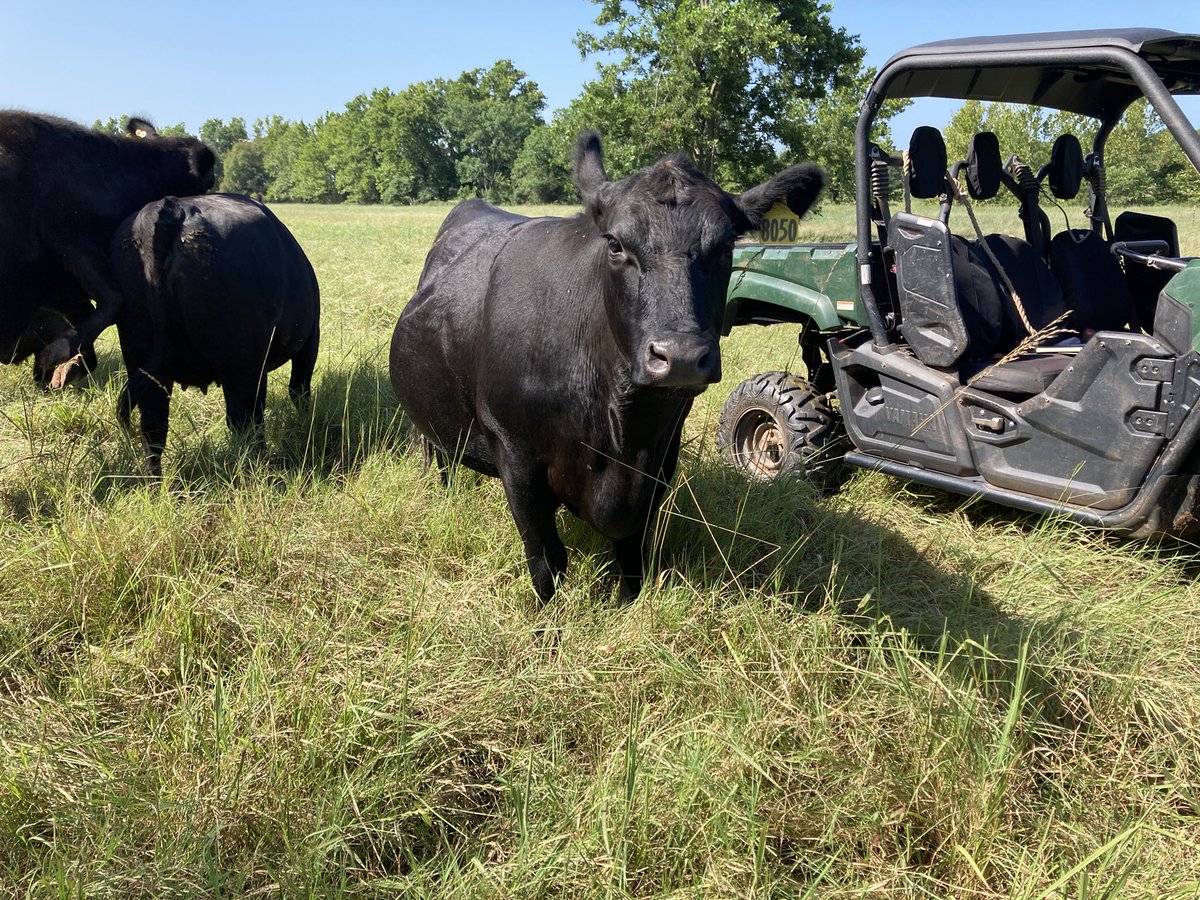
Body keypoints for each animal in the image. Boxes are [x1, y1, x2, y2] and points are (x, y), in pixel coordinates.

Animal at [109, 193, 321, 476]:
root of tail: (172, 207)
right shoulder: (309, 341)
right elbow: (299, 390)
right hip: (241, 366)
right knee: (244, 420)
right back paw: (261, 470)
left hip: (142, 358)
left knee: (153, 428)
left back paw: (155, 483)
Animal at [389, 132, 824, 602]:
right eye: (615, 244)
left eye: (727, 246)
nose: (680, 356)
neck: (619, 427)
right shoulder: (513, 451)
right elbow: (545, 558)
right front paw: (548, 618)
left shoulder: (660, 456)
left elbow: (633, 551)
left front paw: (628, 603)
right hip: (432, 424)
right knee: (439, 457)